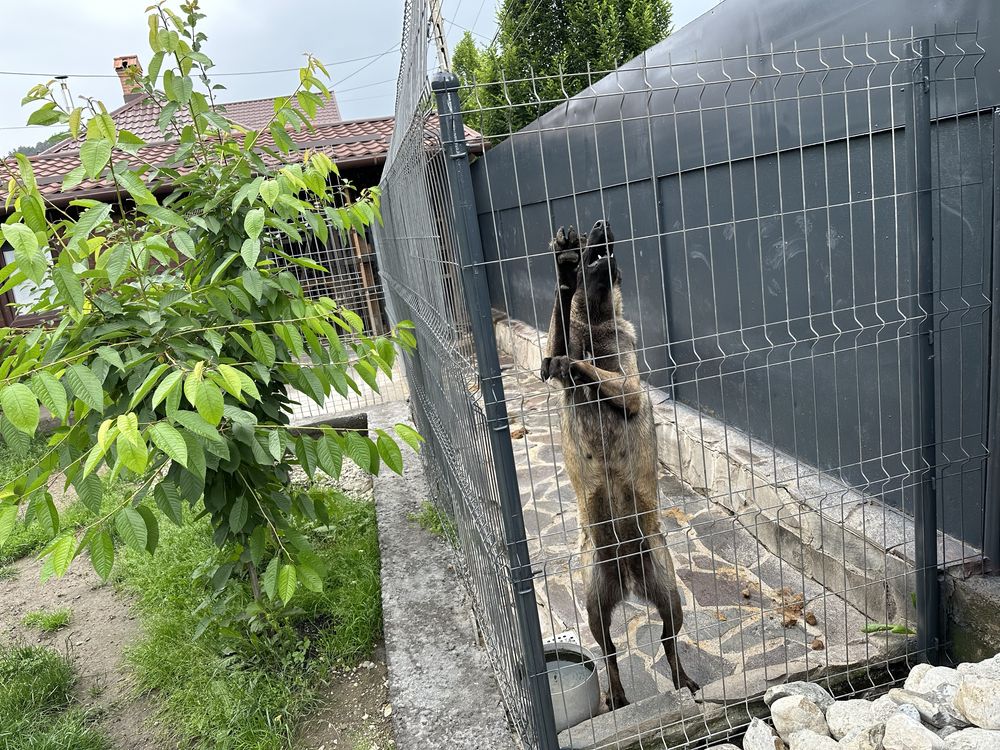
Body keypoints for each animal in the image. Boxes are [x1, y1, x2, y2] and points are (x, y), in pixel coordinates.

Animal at [544, 219, 700, 712]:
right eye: (587, 239)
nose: (600, 224)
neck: (595, 322)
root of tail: (628, 573)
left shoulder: (628, 389)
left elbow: (594, 371)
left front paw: (574, 363)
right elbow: (557, 330)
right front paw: (562, 271)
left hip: (671, 597)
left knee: (668, 643)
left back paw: (684, 681)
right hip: (595, 606)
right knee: (610, 651)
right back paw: (615, 693)